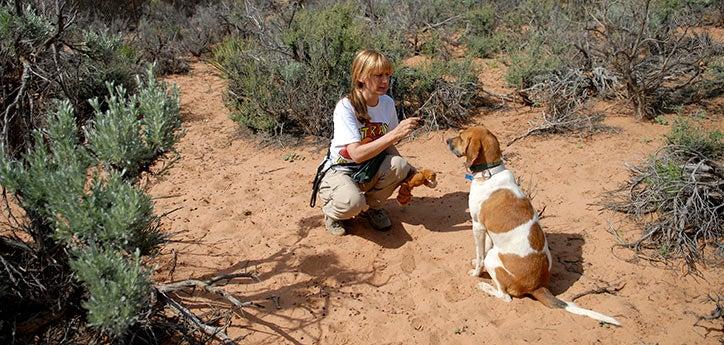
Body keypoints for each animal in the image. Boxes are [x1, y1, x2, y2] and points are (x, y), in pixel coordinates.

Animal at [450, 125, 620, 326]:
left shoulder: (477, 226)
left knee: (505, 296)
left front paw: (476, 271)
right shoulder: (488, 232)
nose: (447, 140)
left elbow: (480, 254)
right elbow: (482, 251)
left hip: (494, 260)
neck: (490, 173)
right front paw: (476, 262)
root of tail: (537, 286)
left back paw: (485, 286)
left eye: (461, 137)